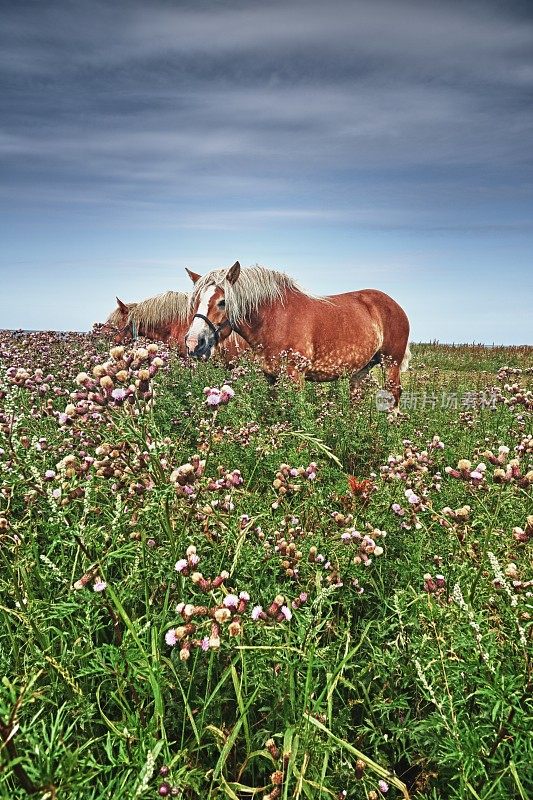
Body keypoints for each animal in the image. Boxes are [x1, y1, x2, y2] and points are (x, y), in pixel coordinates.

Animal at [185, 262, 410, 410]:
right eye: (195, 301)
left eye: (222, 302)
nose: (194, 343)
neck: (274, 319)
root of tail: (395, 305)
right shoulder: (272, 378)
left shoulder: (295, 376)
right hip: (361, 371)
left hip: (391, 364)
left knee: (394, 396)